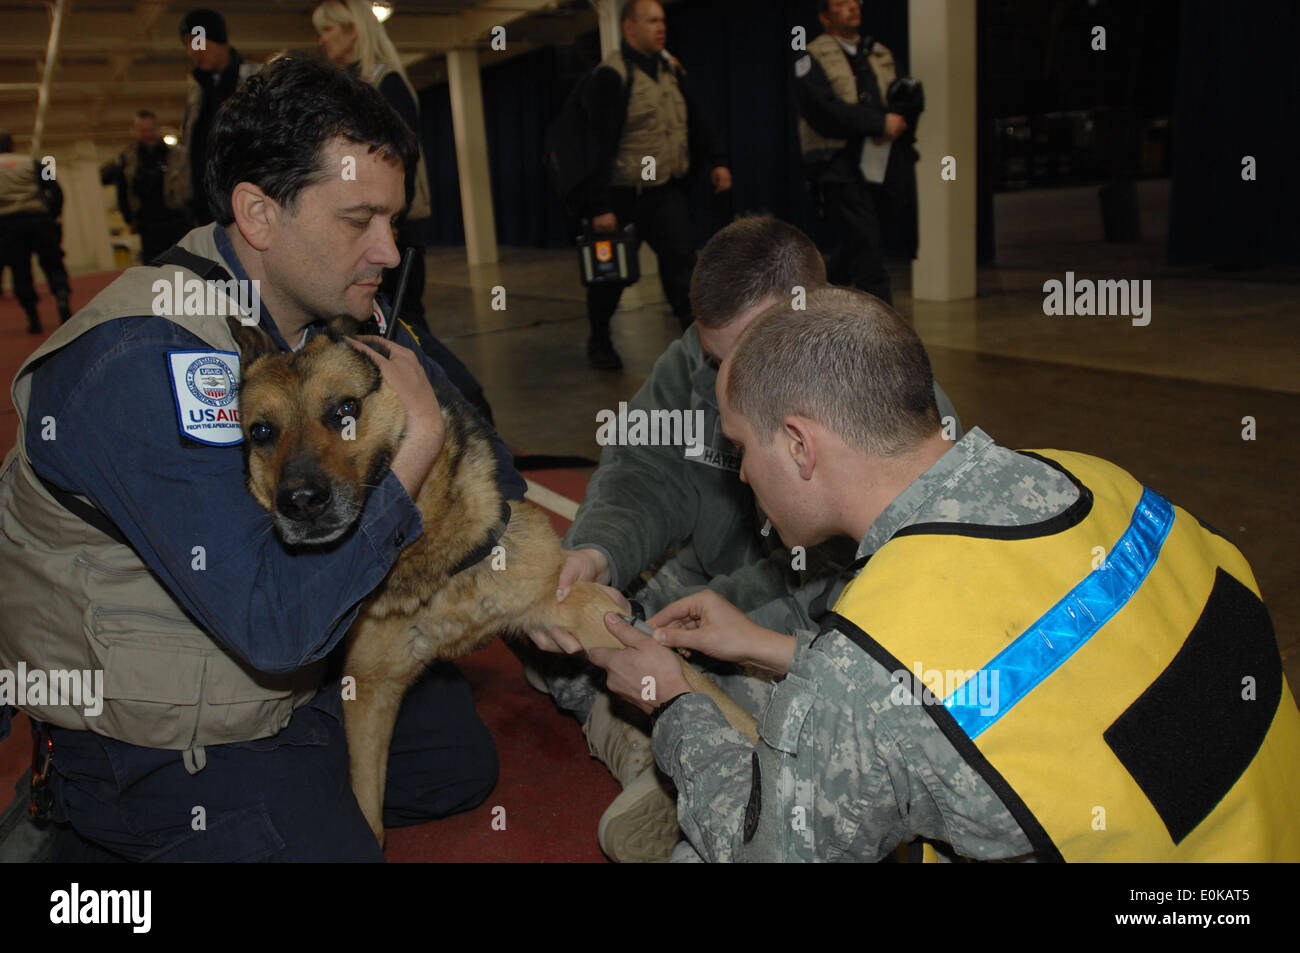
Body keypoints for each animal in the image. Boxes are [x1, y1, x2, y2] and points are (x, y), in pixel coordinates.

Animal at [228, 315, 759, 842]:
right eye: (261, 431)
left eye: (345, 409)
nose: (300, 502)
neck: (427, 552)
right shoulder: (368, 691)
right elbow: (367, 808)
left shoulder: (559, 593)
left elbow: (694, 681)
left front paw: (751, 741)